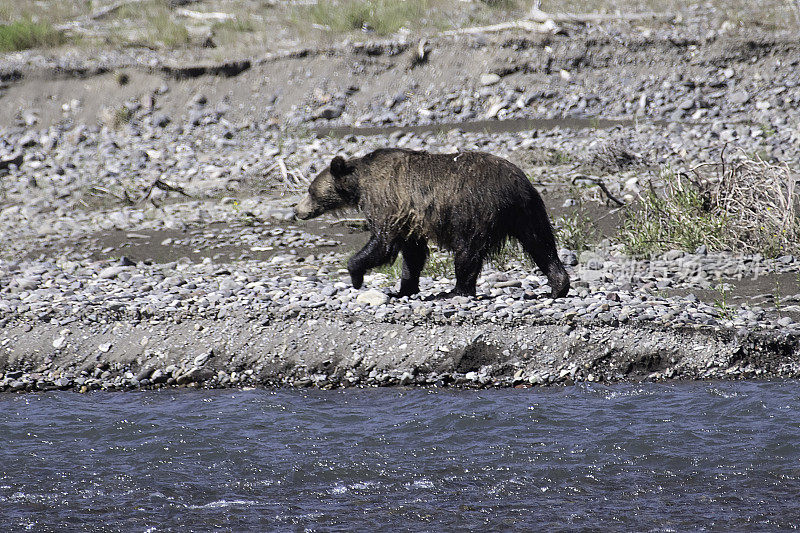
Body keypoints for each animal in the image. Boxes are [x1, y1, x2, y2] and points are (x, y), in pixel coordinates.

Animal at [294, 148, 568, 298]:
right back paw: (559, 285)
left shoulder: (386, 200)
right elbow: (413, 253)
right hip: (529, 211)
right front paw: (404, 288)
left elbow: (383, 243)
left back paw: (457, 290)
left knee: (466, 253)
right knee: (541, 245)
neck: (359, 184)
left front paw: (356, 275)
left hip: (474, 211)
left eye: (310, 190)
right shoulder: (409, 217)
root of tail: (516, 186)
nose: (297, 210)